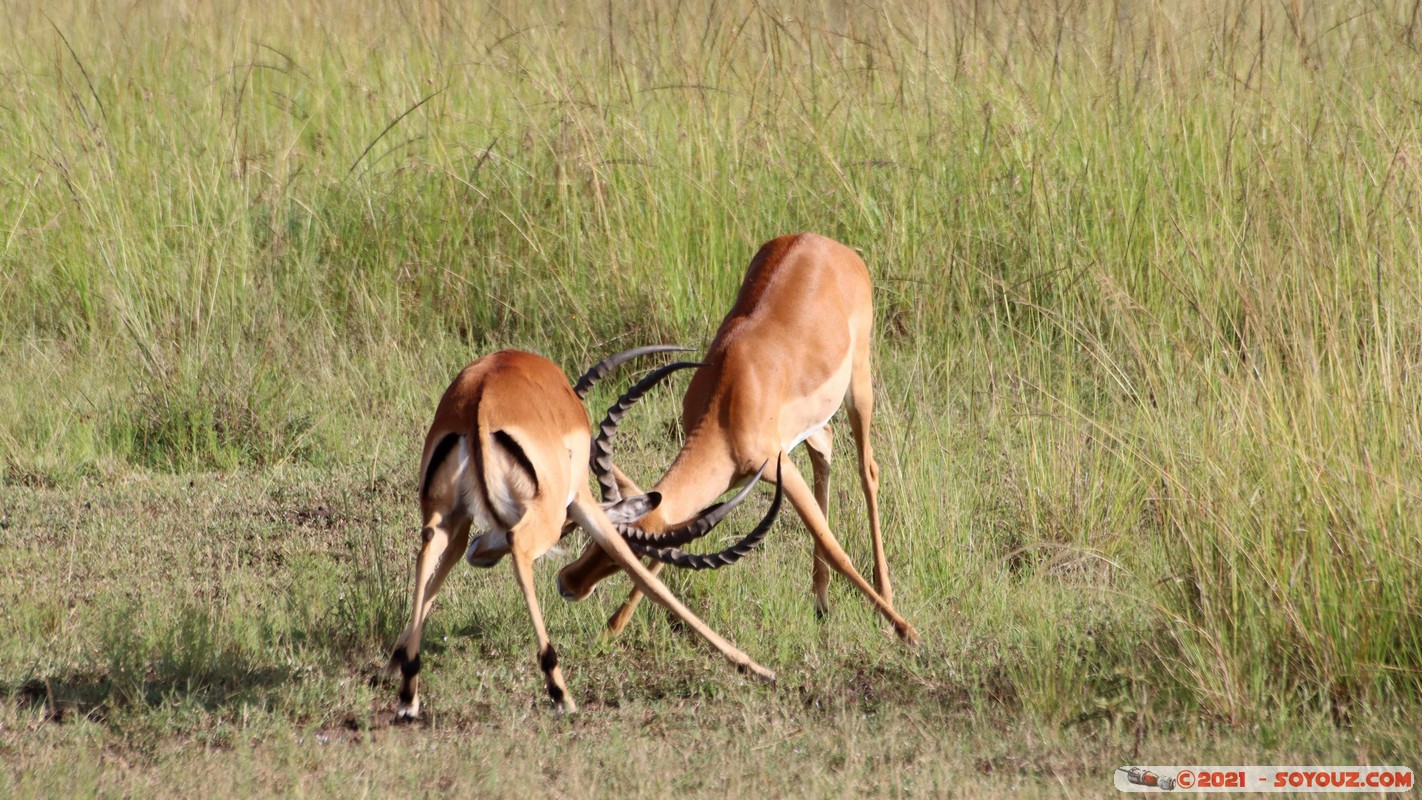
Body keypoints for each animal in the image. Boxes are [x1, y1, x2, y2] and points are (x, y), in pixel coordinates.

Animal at [385, 348, 780, 717]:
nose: (567, 586)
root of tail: (480, 402)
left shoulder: (467, 519)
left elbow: (444, 567)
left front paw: (395, 659)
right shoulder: (580, 499)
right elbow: (646, 577)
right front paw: (757, 668)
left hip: (443, 511)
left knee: (429, 550)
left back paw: (408, 694)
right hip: (544, 512)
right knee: (519, 547)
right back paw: (560, 692)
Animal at [557, 233, 919, 643]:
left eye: (630, 554)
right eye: (595, 533)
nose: (568, 584)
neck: (729, 395)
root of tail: (825, 243)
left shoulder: (781, 469)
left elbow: (834, 546)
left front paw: (907, 631)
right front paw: (613, 627)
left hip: (859, 384)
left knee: (867, 470)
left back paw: (884, 595)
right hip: (814, 422)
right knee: (824, 449)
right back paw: (821, 601)